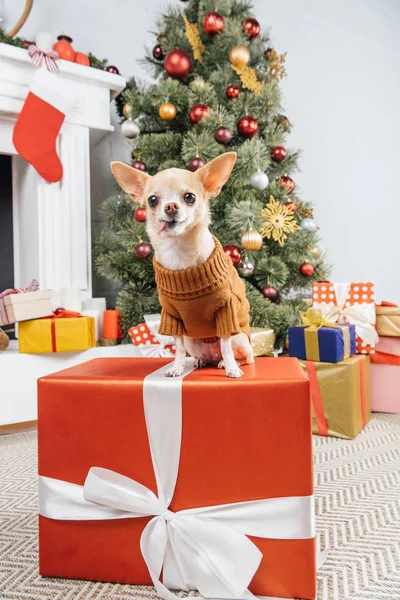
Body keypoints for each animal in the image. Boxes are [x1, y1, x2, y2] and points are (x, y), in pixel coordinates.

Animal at [110, 155, 253, 380]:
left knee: (241, 355)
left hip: (239, 337)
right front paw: (176, 368)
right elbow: (177, 348)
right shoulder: (172, 317)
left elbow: (226, 346)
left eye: (189, 197)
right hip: (191, 339)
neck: (179, 251)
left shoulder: (225, 311)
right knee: (197, 353)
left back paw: (226, 363)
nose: (170, 207)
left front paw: (231, 368)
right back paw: (201, 361)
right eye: (152, 200)